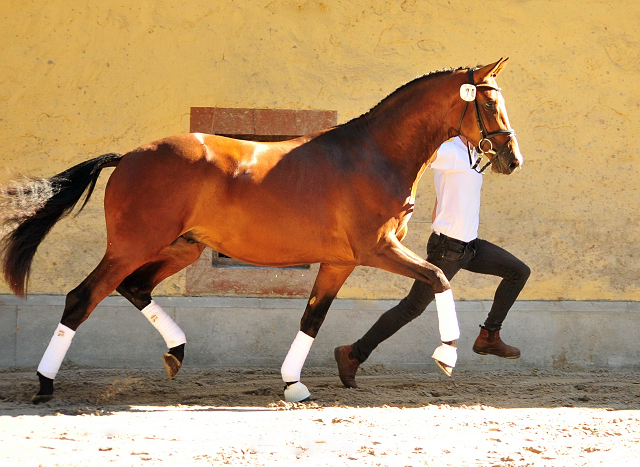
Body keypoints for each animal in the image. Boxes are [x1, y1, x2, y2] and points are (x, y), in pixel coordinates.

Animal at [0, 57, 520, 402]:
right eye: (490, 103)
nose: (512, 159)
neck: (374, 153)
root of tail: (128, 156)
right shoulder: (377, 248)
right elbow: (439, 277)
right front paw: (447, 354)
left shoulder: (340, 261)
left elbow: (312, 318)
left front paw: (294, 383)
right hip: (132, 246)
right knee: (82, 298)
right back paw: (45, 384)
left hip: (181, 248)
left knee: (134, 287)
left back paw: (176, 352)